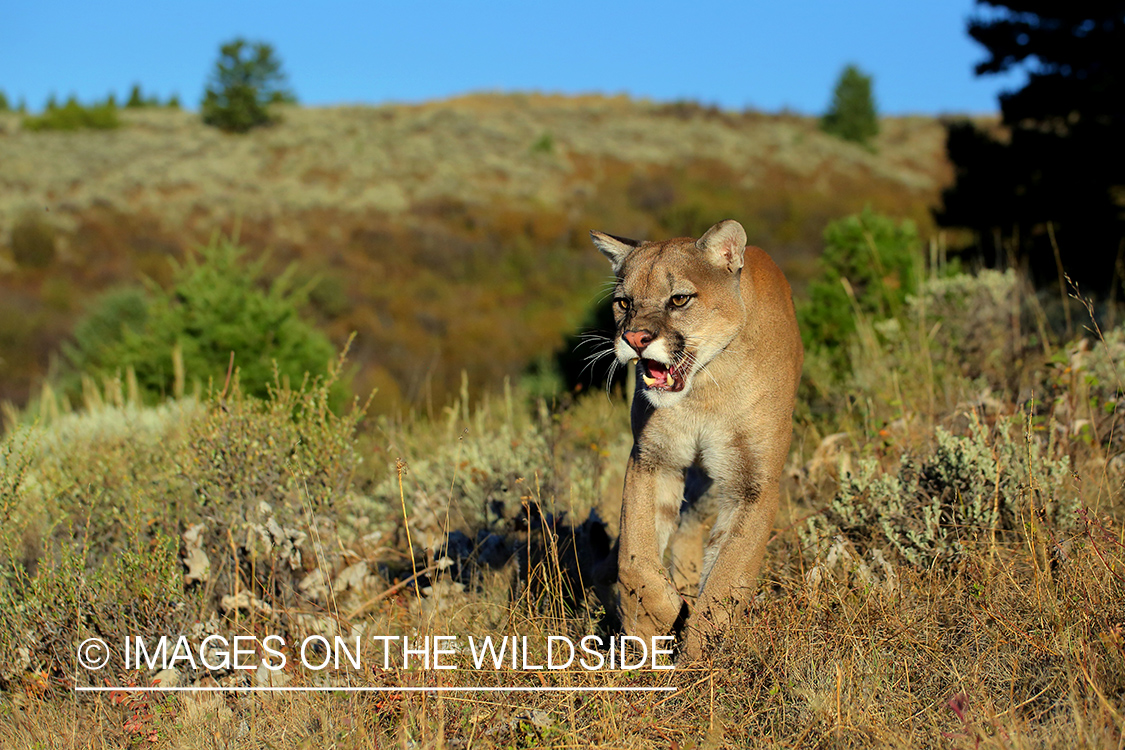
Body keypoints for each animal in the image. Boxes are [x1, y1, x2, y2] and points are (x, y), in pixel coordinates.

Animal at [589, 220, 801, 661]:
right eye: (623, 302)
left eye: (679, 299)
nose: (634, 338)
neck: (705, 389)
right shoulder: (651, 458)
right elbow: (635, 557)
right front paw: (659, 617)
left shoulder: (755, 484)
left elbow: (727, 577)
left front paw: (700, 660)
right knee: (615, 560)